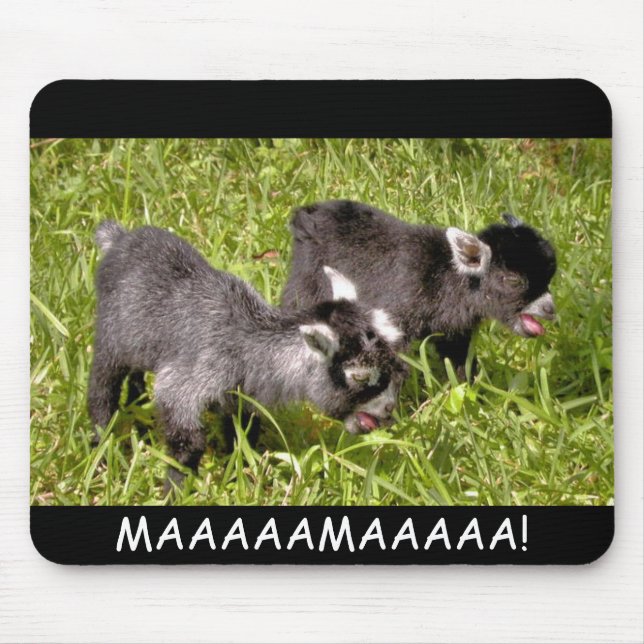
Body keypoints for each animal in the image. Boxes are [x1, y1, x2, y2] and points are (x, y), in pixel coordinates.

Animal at [88, 221, 406, 488]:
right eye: (359, 376)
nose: (389, 408)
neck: (245, 344)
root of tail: (119, 239)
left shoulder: (240, 397)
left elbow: (242, 435)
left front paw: (241, 475)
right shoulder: (188, 381)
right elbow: (187, 442)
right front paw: (177, 488)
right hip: (109, 337)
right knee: (102, 389)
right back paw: (102, 443)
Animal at [281, 200, 557, 380]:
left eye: (550, 277)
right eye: (513, 281)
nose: (550, 310)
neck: (447, 278)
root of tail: (306, 217)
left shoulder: (455, 331)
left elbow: (460, 362)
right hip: (306, 285)